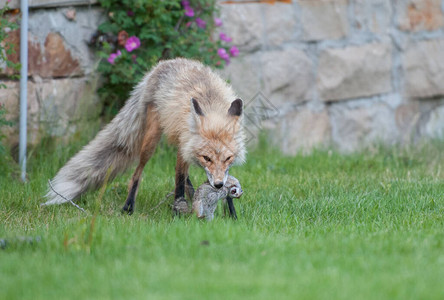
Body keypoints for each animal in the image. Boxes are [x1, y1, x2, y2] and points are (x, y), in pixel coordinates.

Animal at [43, 58, 246, 213]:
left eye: (228, 158)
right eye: (206, 158)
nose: (218, 185)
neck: (211, 103)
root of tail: (160, 66)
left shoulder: (192, 148)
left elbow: (220, 179)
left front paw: (229, 211)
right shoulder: (185, 145)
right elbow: (179, 180)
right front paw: (178, 210)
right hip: (152, 140)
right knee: (137, 173)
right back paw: (128, 207)